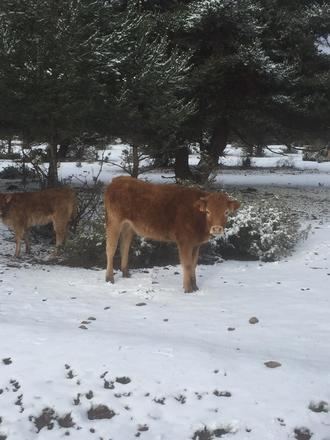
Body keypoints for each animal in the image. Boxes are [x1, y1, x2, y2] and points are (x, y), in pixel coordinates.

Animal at [104, 175, 240, 292]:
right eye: (208, 211)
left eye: (226, 212)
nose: (216, 228)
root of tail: (117, 180)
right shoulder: (184, 242)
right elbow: (187, 264)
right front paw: (188, 289)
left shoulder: (196, 244)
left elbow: (193, 264)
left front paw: (195, 286)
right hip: (114, 221)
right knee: (111, 248)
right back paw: (109, 278)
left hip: (128, 227)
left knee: (124, 246)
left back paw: (126, 273)